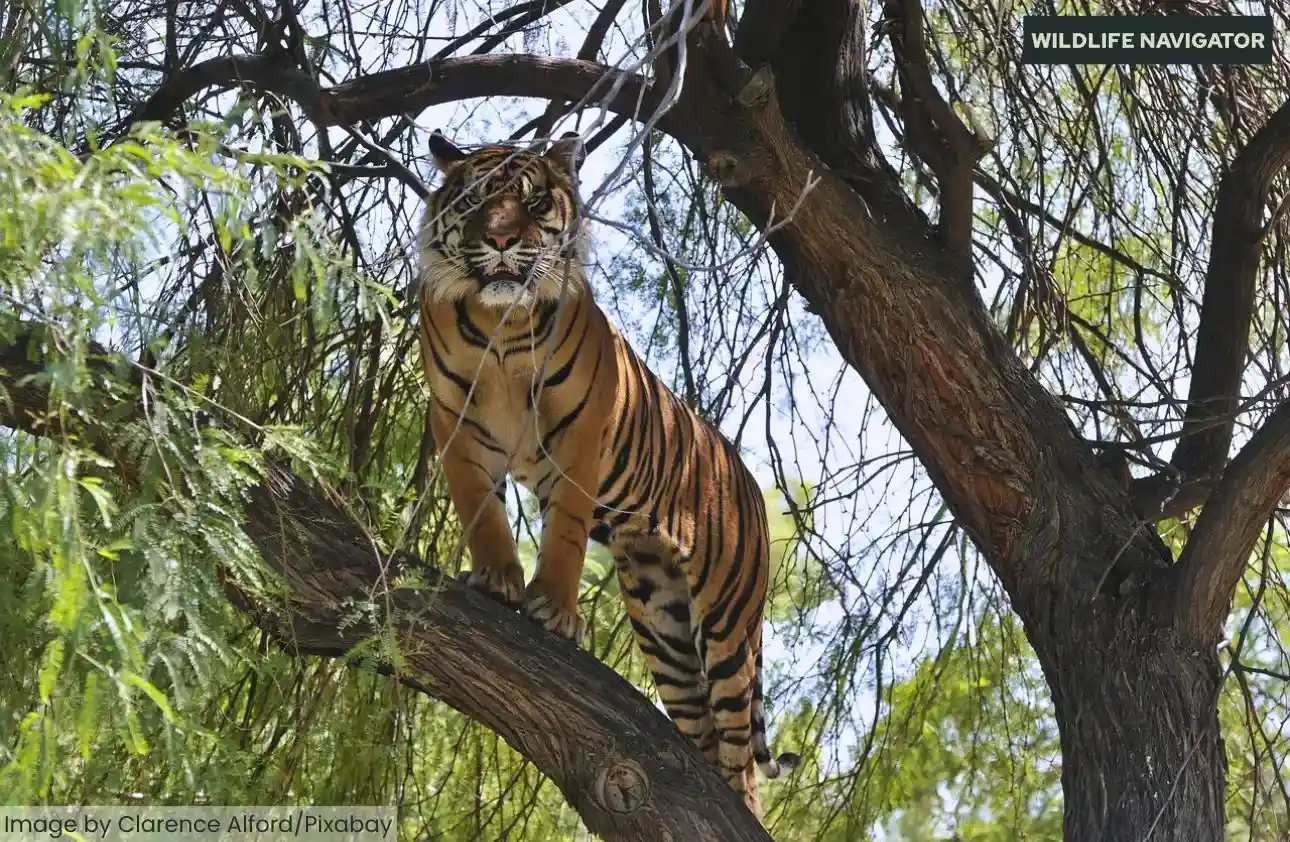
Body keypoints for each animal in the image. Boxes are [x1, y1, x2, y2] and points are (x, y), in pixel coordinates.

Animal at [415, 128, 798, 818]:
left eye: (535, 202)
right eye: (479, 200)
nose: (505, 240)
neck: (499, 324)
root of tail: (751, 482)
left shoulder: (581, 431)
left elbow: (565, 533)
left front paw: (555, 609)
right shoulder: (456, 425)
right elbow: (482, 513)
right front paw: (496, 579)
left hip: (728, 624)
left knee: (740, 755)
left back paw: (738, 809)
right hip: (662, 620)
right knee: (701, 730)